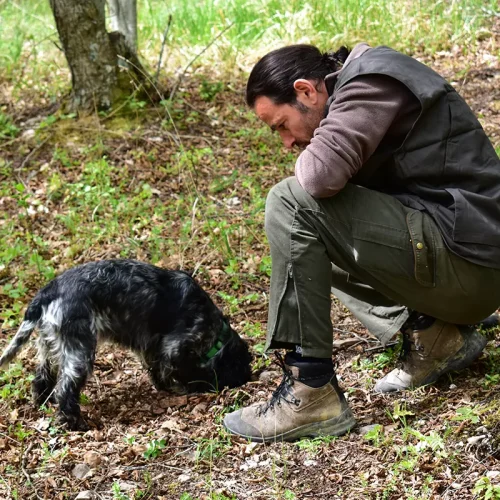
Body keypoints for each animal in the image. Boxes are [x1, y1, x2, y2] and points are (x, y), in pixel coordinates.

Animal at [0, 262, 250, 430]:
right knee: (65, 389)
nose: (248, 378)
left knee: (41, 379)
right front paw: (181, 389)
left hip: (49, 346)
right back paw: (76, 423)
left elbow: (157, 369)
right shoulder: (174, 347)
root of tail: (46, 293)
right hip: (79, 351)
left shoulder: (150, 347)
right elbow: (173, 371)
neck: (214, 330)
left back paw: (43, 403)